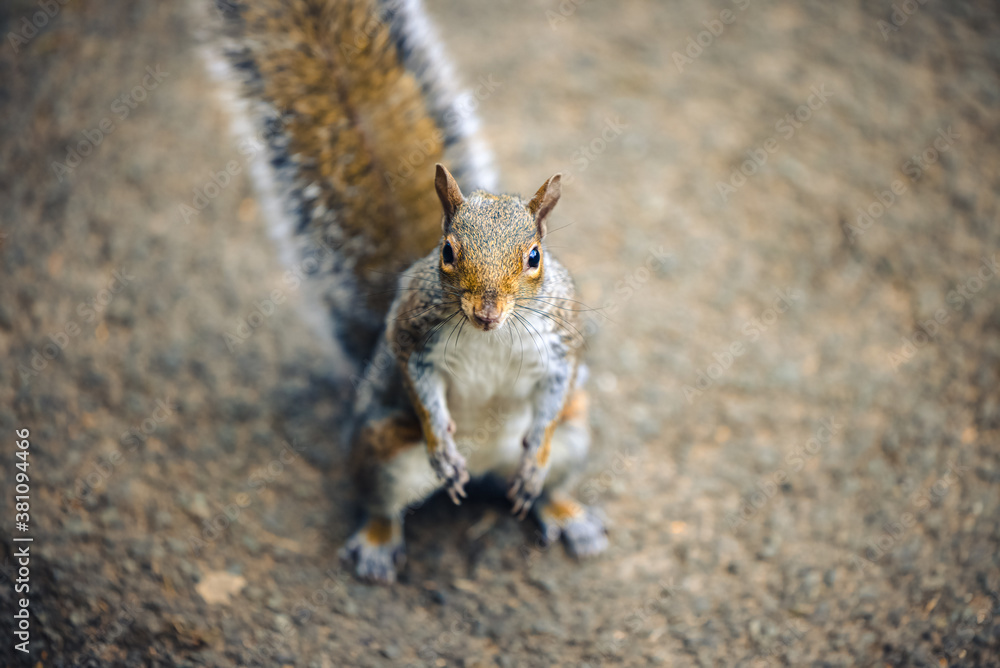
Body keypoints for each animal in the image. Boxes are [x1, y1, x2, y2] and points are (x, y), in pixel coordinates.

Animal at [205, 0, 607, 583]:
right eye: (447, 252)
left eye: (534, 257)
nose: (486, 312)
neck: (491, 336)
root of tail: (485, 469)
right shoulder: (413, 337)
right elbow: (420, 387)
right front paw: (441, 444)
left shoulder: (561, 342)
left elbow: (554, 394)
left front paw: (535, 456)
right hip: (384, 453)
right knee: (381, 503)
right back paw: (379, 541)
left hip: (575, 438)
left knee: (549, 483)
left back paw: (566, 512)